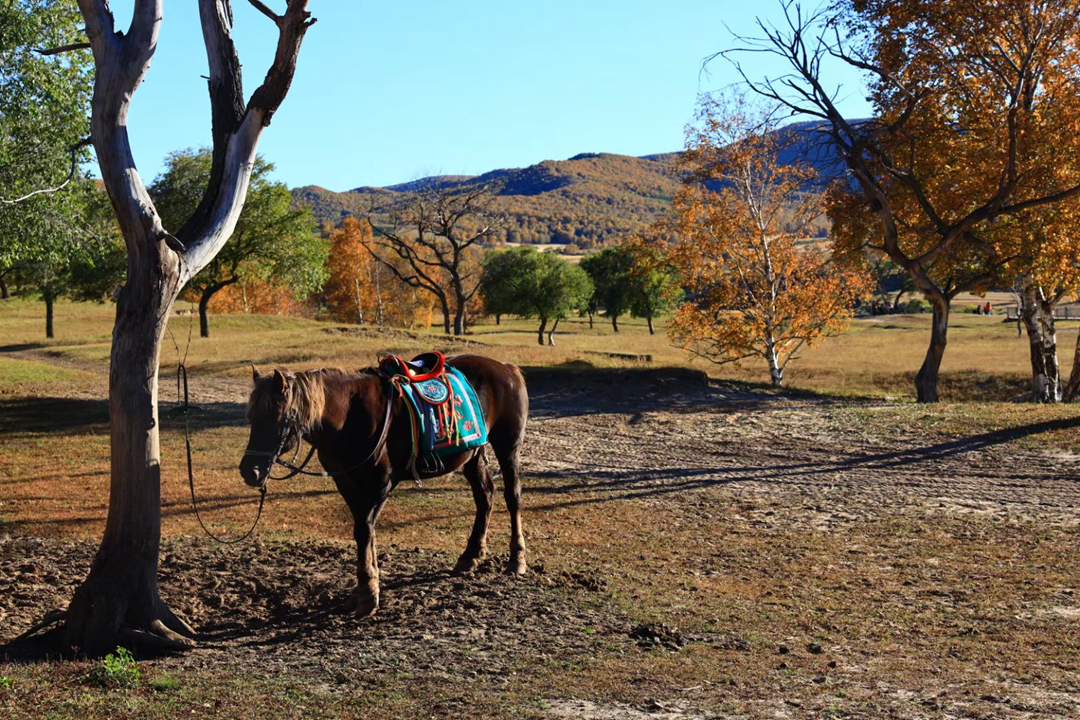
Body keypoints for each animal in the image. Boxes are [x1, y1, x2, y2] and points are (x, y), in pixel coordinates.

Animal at [238, 351, 529, 617]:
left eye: (277, 418)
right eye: (252, 417)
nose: (249, 471)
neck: (349, 417)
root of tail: (506, 368)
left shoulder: (381, 485)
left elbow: (364, 530)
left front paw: (368, 593)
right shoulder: (347, 483)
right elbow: (365, 531)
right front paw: (365, 586)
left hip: (508, 446)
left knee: (512, 497)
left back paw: (516, 560)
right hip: (472, 454)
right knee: (485, 496)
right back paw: (470, 557)